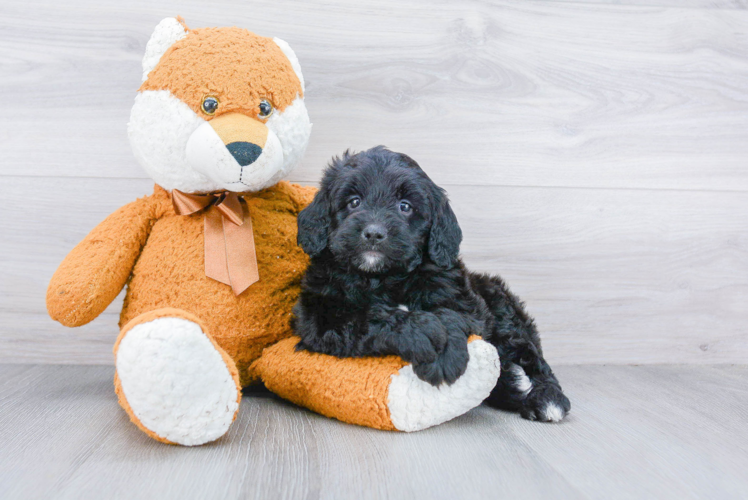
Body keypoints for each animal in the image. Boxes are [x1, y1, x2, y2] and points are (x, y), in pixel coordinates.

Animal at [294, 146, 572, 422]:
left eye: (405, 206)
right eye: (354, 202)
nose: (374, 233)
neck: (382, 277)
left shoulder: (465, 301)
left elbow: (451, 313)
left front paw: (445, 352)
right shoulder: (318, 314)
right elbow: (367, 316)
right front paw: (423, 333)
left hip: (501, 306)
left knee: (528, 354)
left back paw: (544, 396)